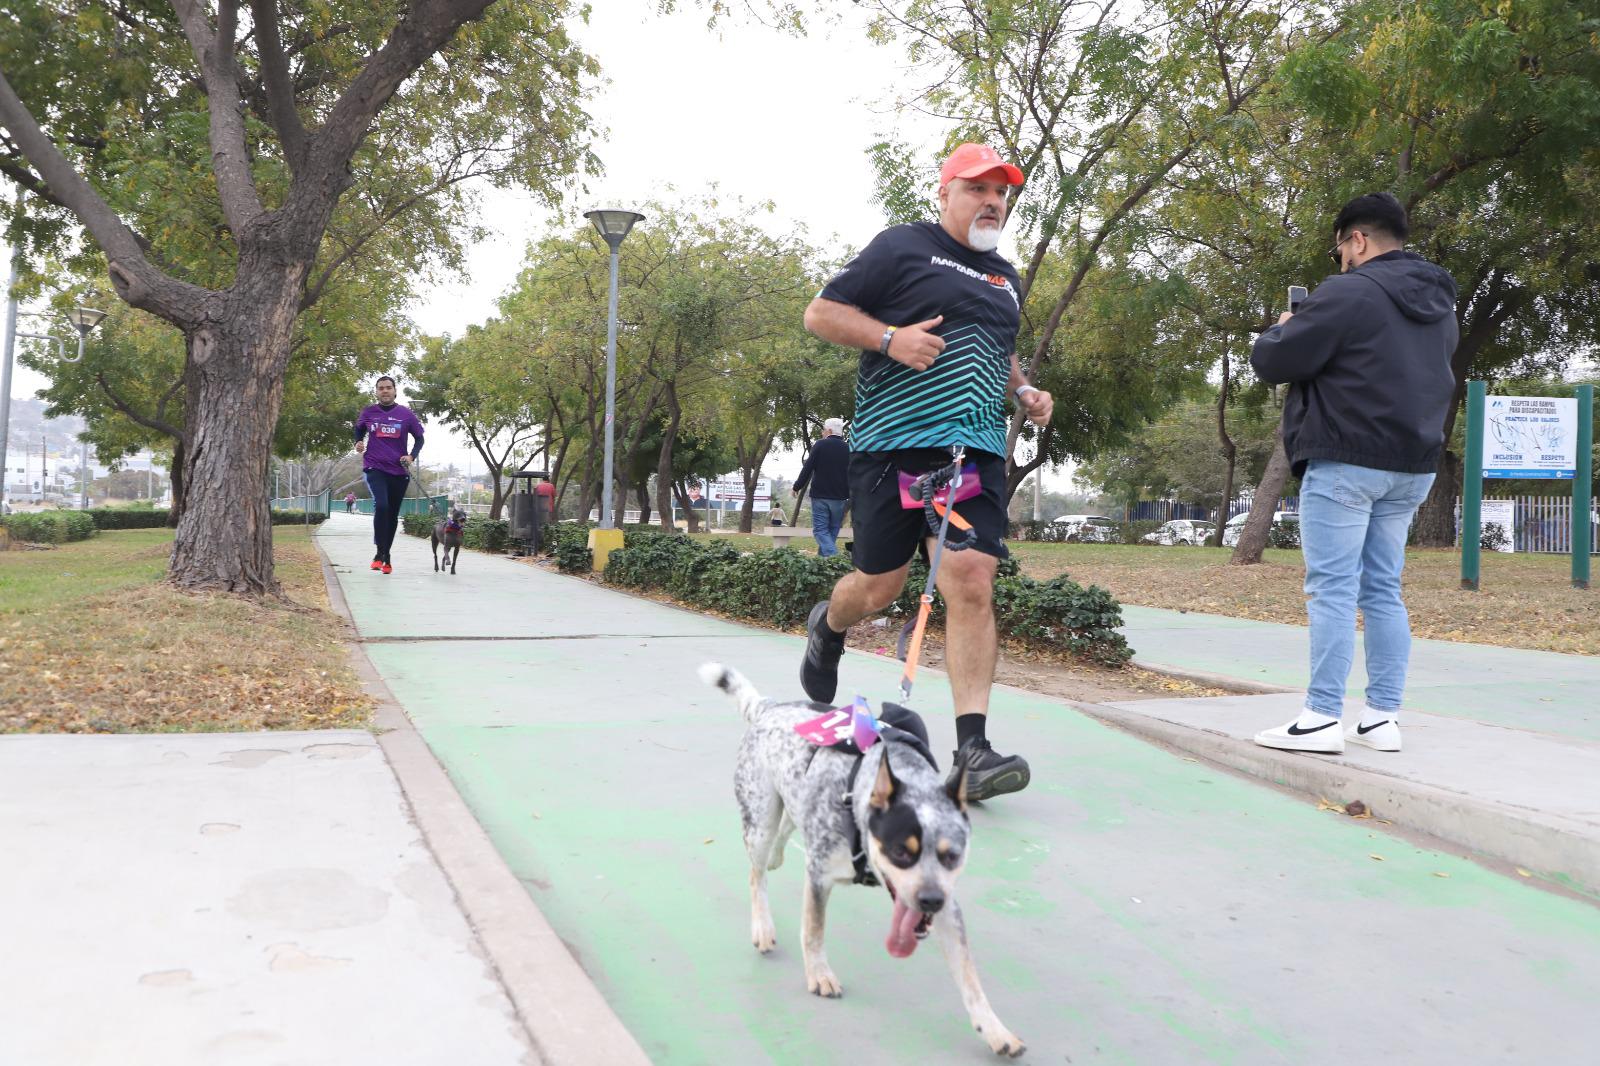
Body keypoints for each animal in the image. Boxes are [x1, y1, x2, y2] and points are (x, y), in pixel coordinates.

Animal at [697, 659, 1024, 1049]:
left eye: (952, 855)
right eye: (901, 852)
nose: (930, 900)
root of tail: (769, 707)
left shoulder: (948, 905)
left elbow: (969, 976)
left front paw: (994, 1029)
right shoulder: (819, 874)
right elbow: (814, 929)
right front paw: (819, 974)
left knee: (786, 827)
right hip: (759, 818)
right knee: (756, 872)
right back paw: (762, 925)